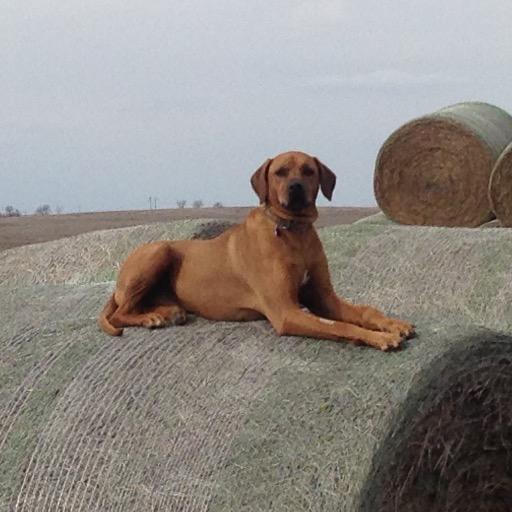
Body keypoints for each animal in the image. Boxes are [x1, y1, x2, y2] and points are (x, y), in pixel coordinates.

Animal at [98, 150, 414, 350]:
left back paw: (167, 312)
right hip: (159, 250)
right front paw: (378, 338)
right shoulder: (286, 311)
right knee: (119, 314)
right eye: (280, 173)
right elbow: (339, 326)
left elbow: (365, 311)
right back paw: (152, 317)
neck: (293, 232)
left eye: (309, 171)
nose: (296, 187)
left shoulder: (324, 297)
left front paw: (392, 324)